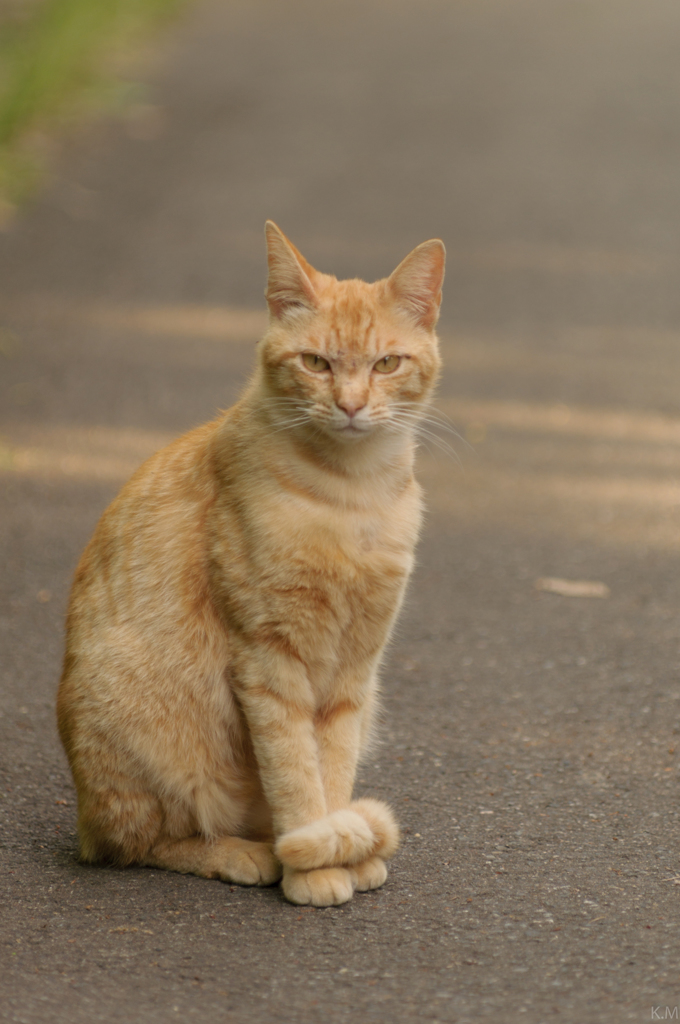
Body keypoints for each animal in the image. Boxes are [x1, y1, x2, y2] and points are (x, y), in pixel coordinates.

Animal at [58, 222, 446, 905]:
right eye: (316, 363)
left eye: (386, 364)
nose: (350, 405)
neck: (354, 495)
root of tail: (81, 819)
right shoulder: (270, 659)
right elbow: (294, 771)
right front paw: (313, 867)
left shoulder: (354, 669)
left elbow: (333, 767)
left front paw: (338, 850)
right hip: (143, 732)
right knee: (139, 844)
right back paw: (241, 852)